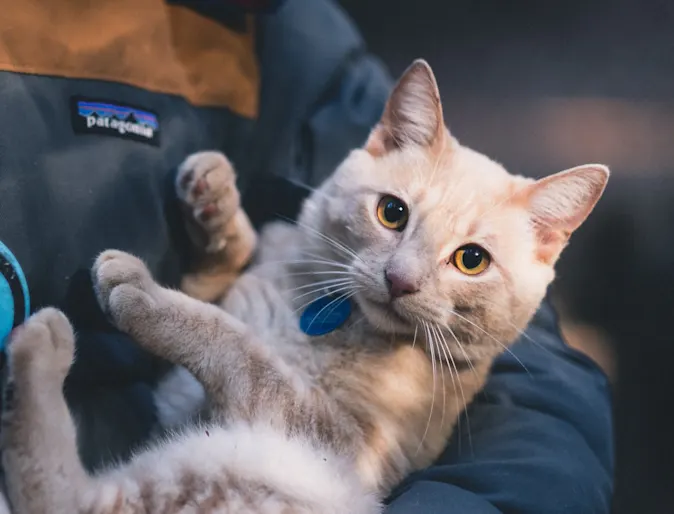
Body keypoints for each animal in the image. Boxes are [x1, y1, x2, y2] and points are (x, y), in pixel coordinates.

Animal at [1, 58, 608, 510]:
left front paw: (146, 294)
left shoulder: (330, 434)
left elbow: (239, 346)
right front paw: (214, 199)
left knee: (72, 501)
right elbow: (223, 274)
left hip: (254, 468)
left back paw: (42, 343)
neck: (330, 321)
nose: (400, 280)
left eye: (472, 260)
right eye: (392, 213)